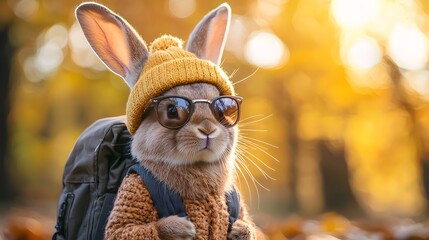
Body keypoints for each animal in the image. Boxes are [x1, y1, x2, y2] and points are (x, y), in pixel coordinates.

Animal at [75, 1, 256, 240]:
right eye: (172, 110)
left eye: (224, 109)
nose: (208, 130)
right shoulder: (135, 189)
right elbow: (123, 230)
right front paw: (182, 229)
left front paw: (241, 229)